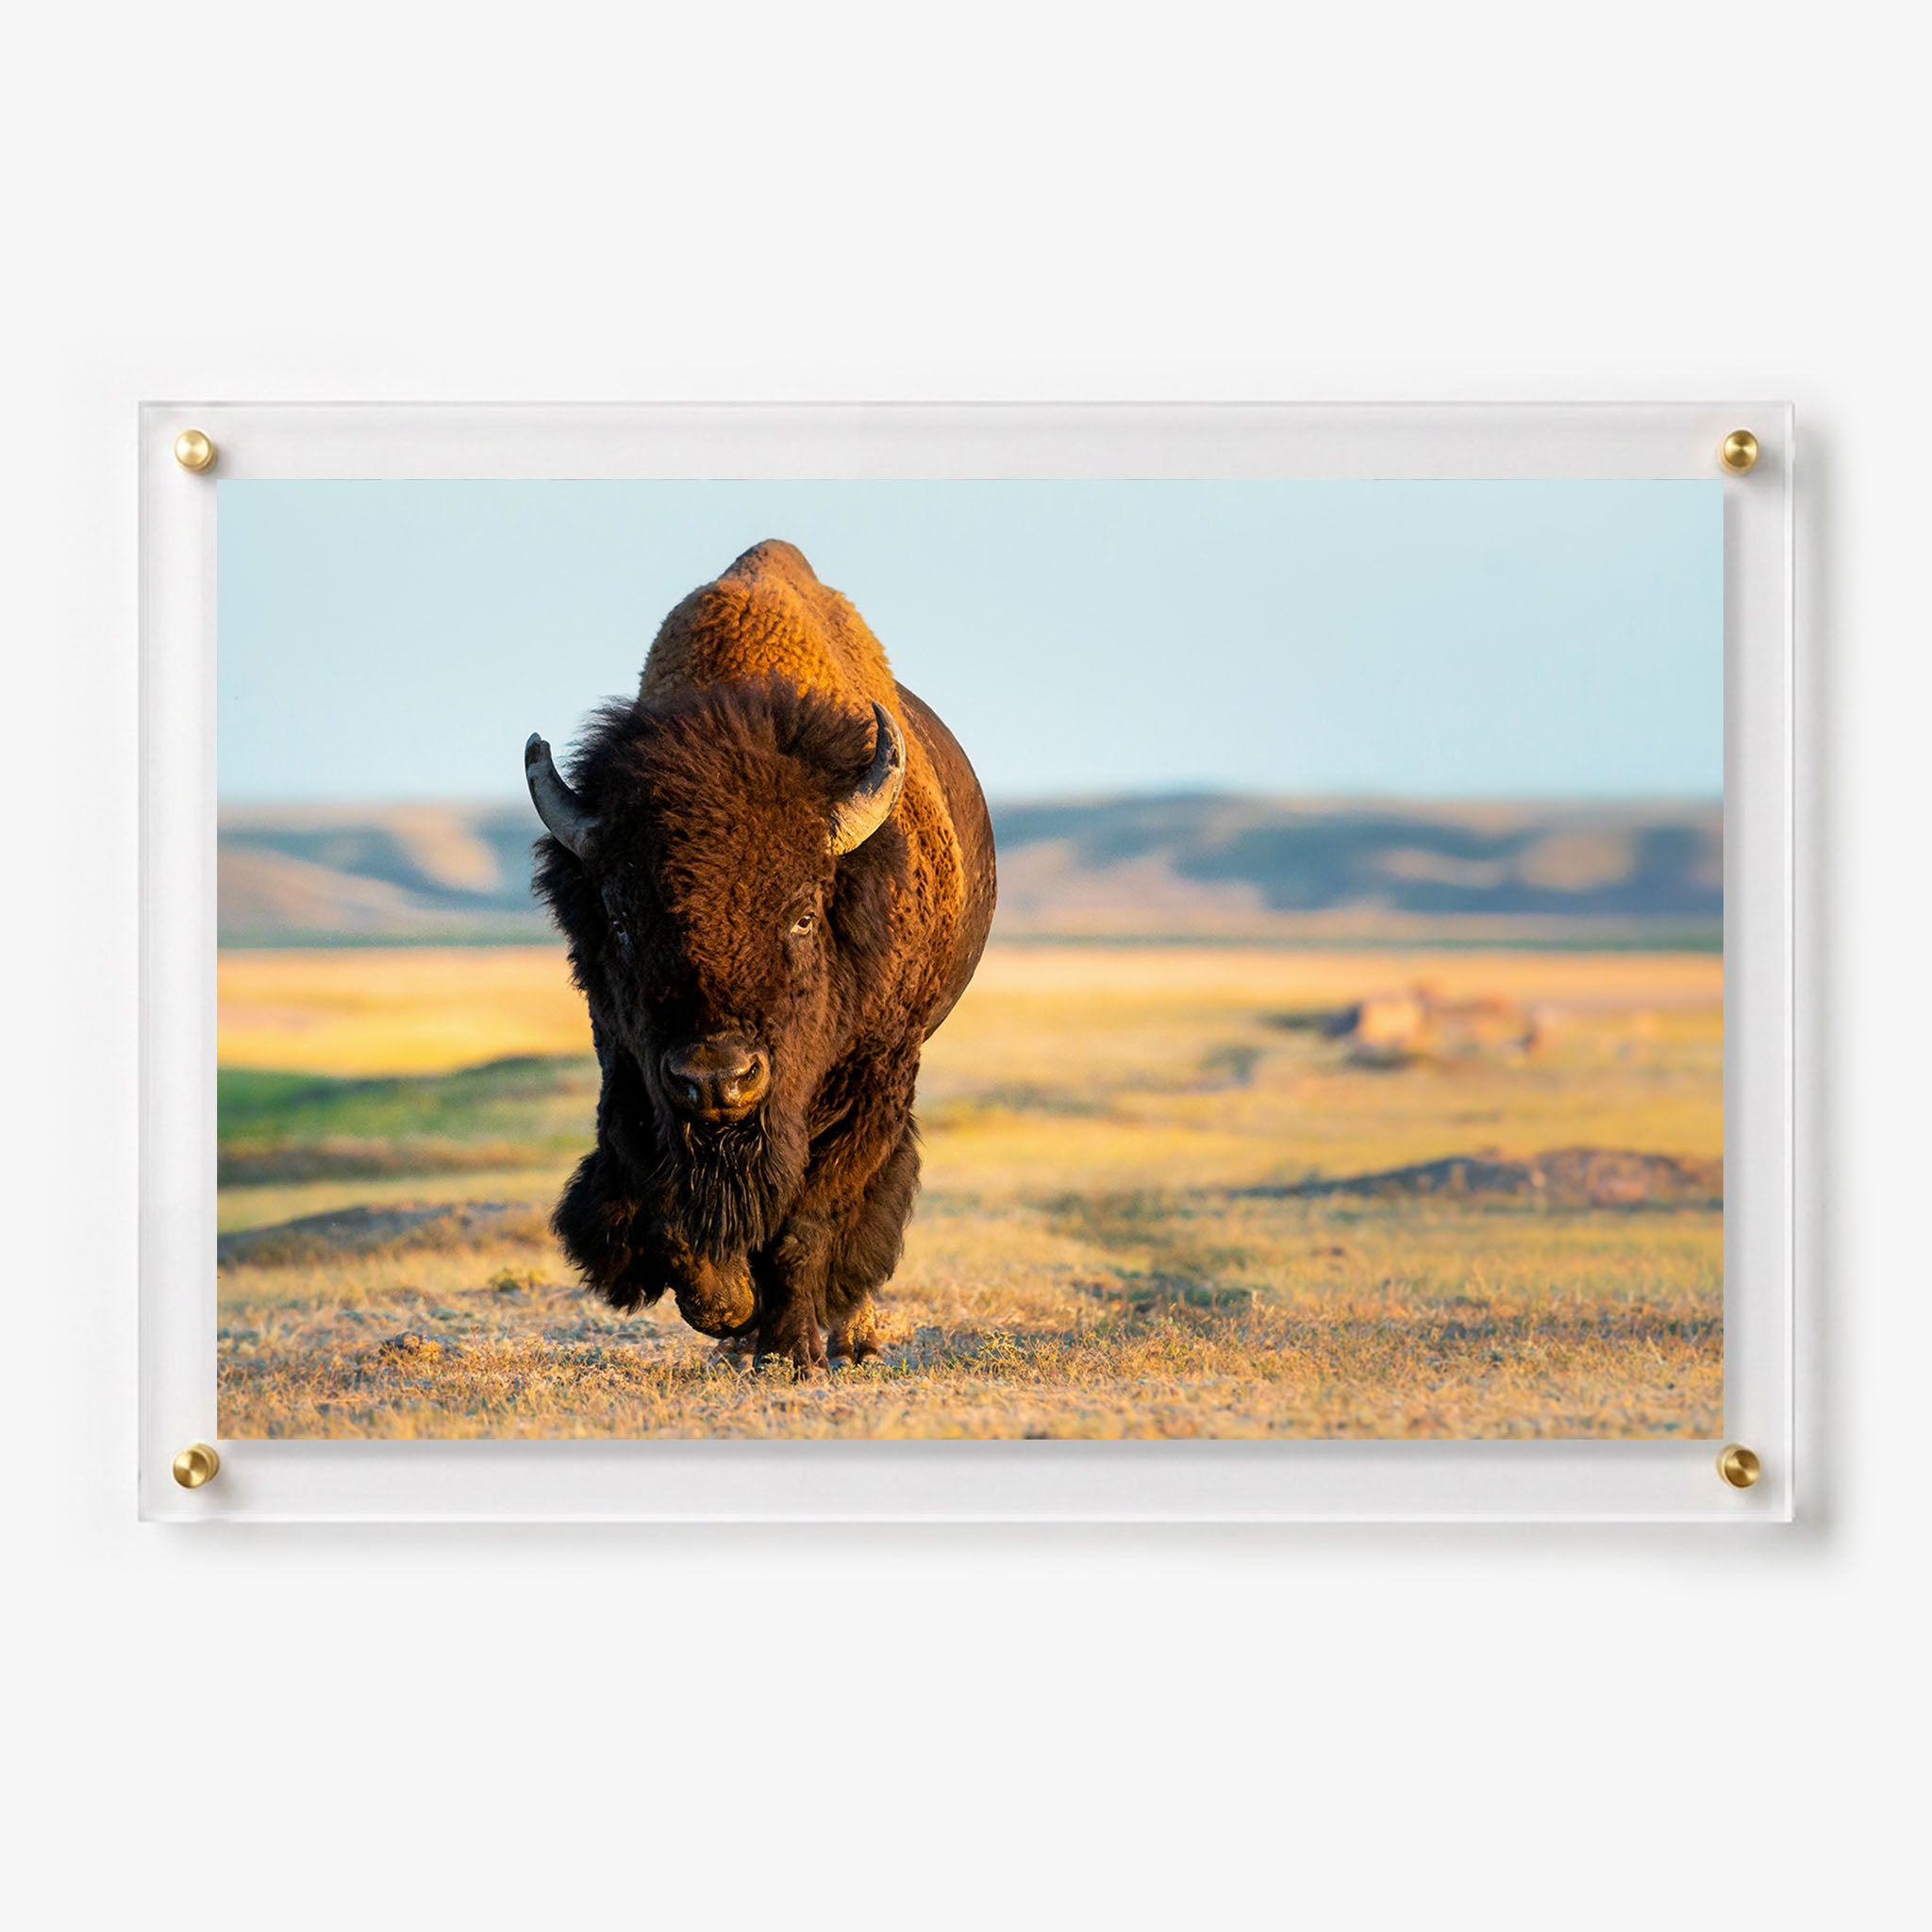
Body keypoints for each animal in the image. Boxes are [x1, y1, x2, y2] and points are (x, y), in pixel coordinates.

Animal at [525, 540, 997, 1372]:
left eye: (803, 914)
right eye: (620, 917)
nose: (718, 1079)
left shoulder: (873, 1080)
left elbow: (812, 1218)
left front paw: (788, 1350)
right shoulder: (630, 1069)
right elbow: (661, 1197)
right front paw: (729, 1310)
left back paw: (850, 1334)